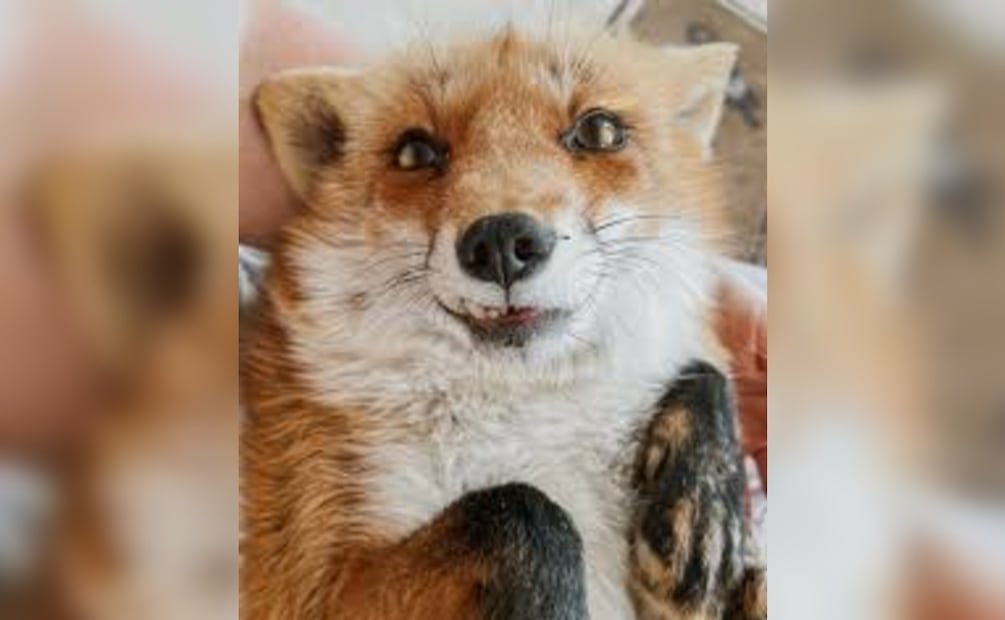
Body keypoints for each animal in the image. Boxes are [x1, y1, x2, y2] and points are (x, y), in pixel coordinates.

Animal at [242, 26, 765, 620]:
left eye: (599, 130)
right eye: (416, 151)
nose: (500, 243)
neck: (530, 409)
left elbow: (708, 376)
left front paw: (710, 511)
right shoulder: (301, 579)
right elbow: (525, 512)